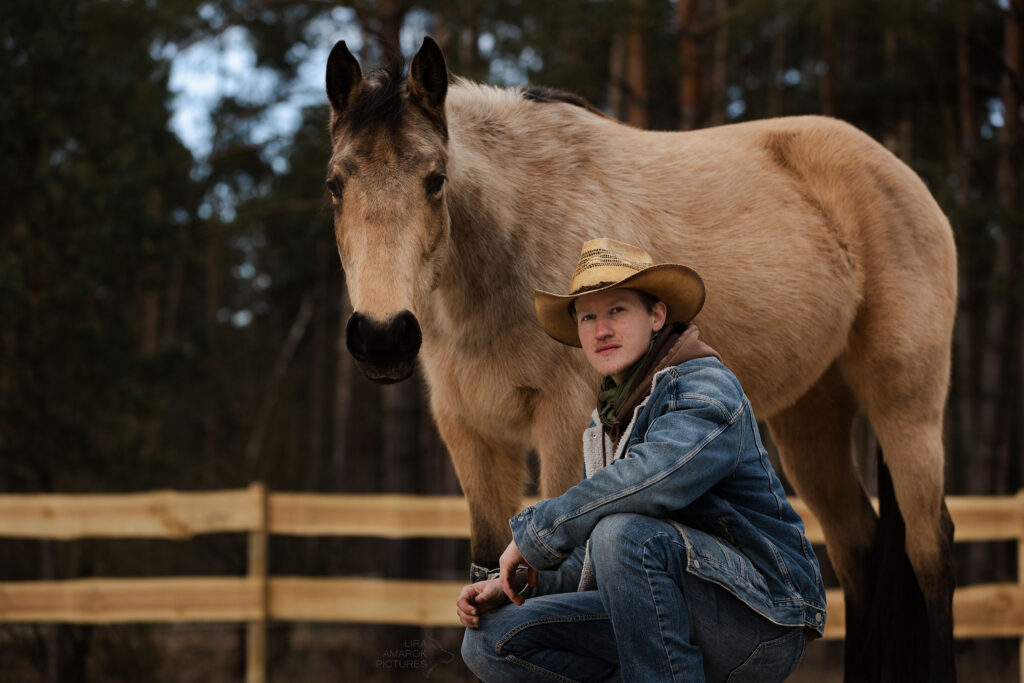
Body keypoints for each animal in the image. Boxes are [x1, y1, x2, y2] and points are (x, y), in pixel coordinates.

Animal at [323, 37, 957, 681]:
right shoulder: (472, 434)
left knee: (929, 551)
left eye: (436, 180)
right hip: (812, 416)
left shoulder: (561, 424)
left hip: (906, 402)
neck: (511, 245)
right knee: (860, 552)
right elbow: (487, 562)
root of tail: (897, 171)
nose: (382, 338)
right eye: (334, 185)